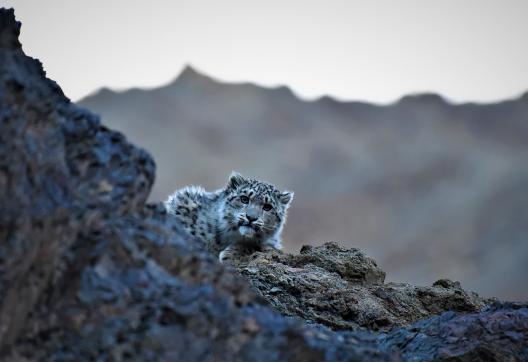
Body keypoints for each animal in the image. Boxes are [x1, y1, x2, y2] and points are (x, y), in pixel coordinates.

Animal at [164, 173, 292, 264]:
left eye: (267, 207)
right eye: (244, 199)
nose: (251, 217)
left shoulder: (271, 243)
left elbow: (255, 245)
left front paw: (230, 255)